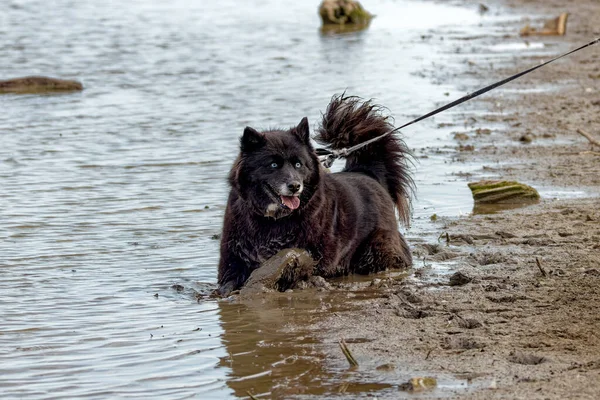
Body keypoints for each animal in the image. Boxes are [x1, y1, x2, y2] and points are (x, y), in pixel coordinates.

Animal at [217, 93, 412, 294]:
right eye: (273, 164)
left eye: (298, 164)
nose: (295, 186)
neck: (272, 221)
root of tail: (367, 172)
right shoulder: (233, 261)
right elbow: (229, 282)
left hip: (375, 251)